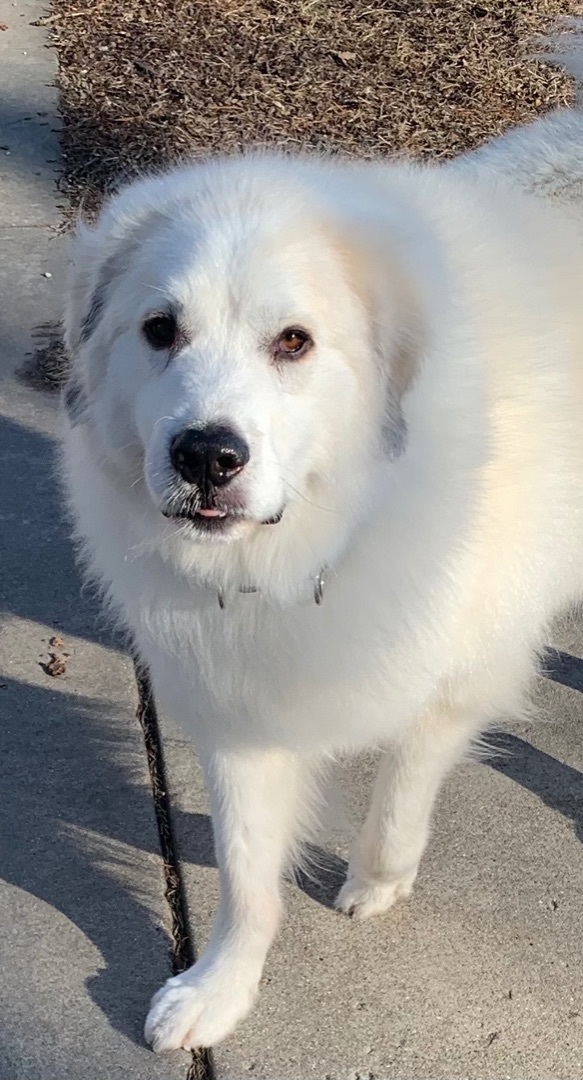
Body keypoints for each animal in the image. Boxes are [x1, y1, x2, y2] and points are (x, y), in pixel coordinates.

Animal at [60, 38, 583, 1049]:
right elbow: (247, 879)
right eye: (159, 330)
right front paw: (218, 990)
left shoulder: (454, 685)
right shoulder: (238, 705)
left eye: (294, 342)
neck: (323, 535)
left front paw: (376, 882)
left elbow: (396, 802)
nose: (206, 456)